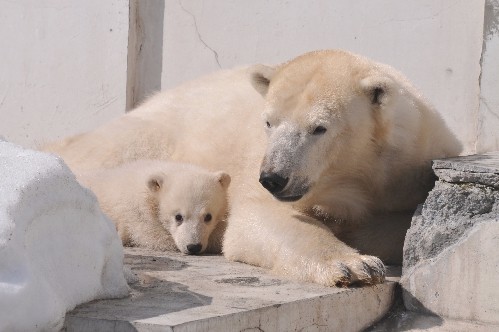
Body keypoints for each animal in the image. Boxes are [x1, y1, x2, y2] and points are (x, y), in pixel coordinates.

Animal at [46, 50, 460, 286]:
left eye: (319, 128)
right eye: (269, 122)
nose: (273, 178)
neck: (361, 171)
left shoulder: (413, 163)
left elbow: (403, 221)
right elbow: (263, 221)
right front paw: (354, 266)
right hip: (151, 133)